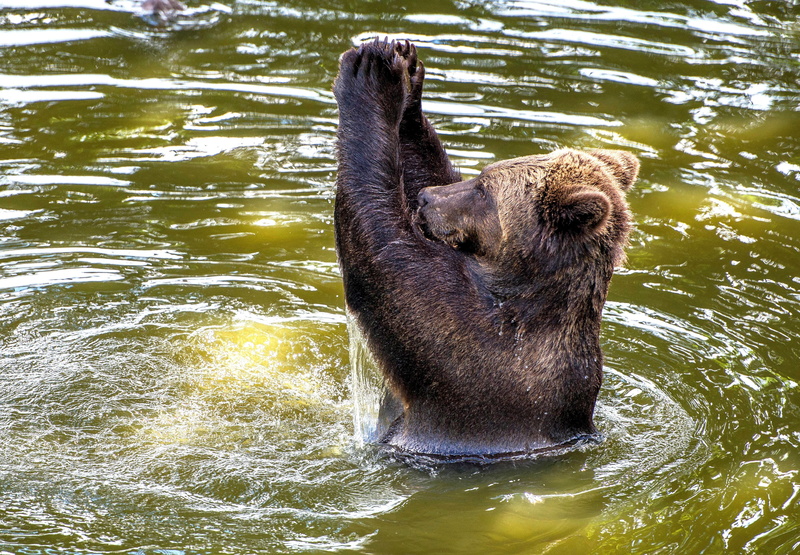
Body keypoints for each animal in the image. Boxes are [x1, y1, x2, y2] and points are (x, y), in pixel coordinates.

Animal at [333, 38, 638, 459]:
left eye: (483, 190)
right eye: (479, 176)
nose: (427, 199)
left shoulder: (466, 346)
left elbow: (382, 249)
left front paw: (372, 75)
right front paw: (408, 74)